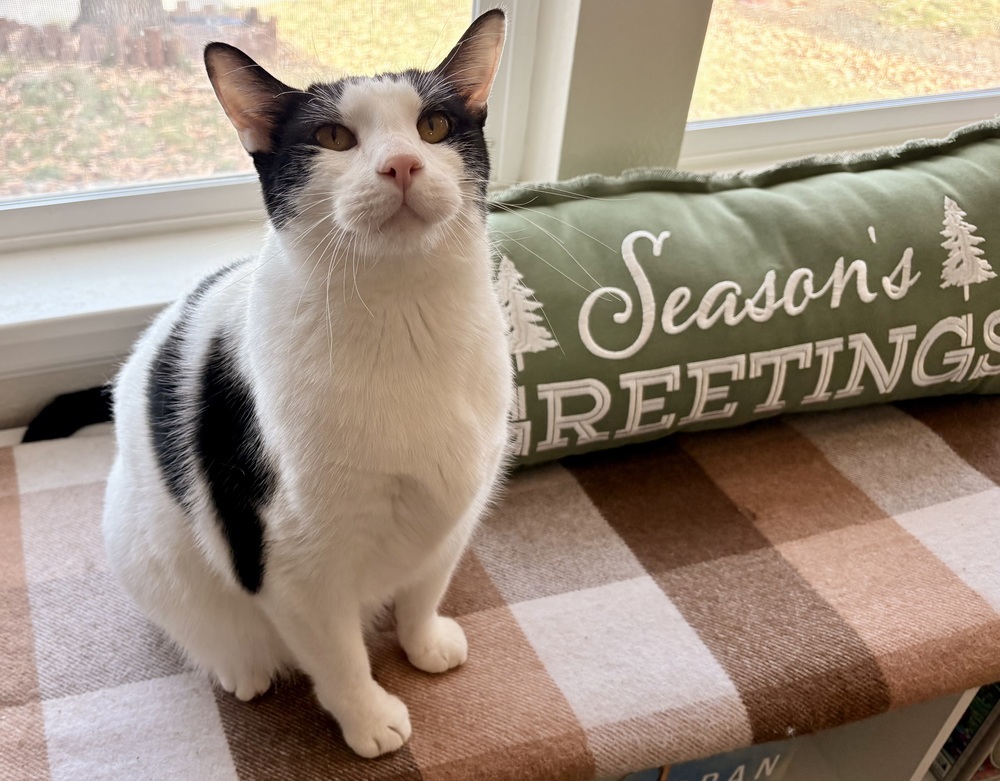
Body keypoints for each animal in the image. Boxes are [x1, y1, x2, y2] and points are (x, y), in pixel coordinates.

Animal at [100, 10, 512, 756]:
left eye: (434, 126)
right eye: (333, 138)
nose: (402, 163)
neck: (402, 316)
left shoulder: (454, 512)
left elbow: (425, 586)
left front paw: (424, 642)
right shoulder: (292, 563)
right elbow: (338, 653)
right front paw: (369, 719)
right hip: (145, 548)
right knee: (210, 627)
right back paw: (243, 669)